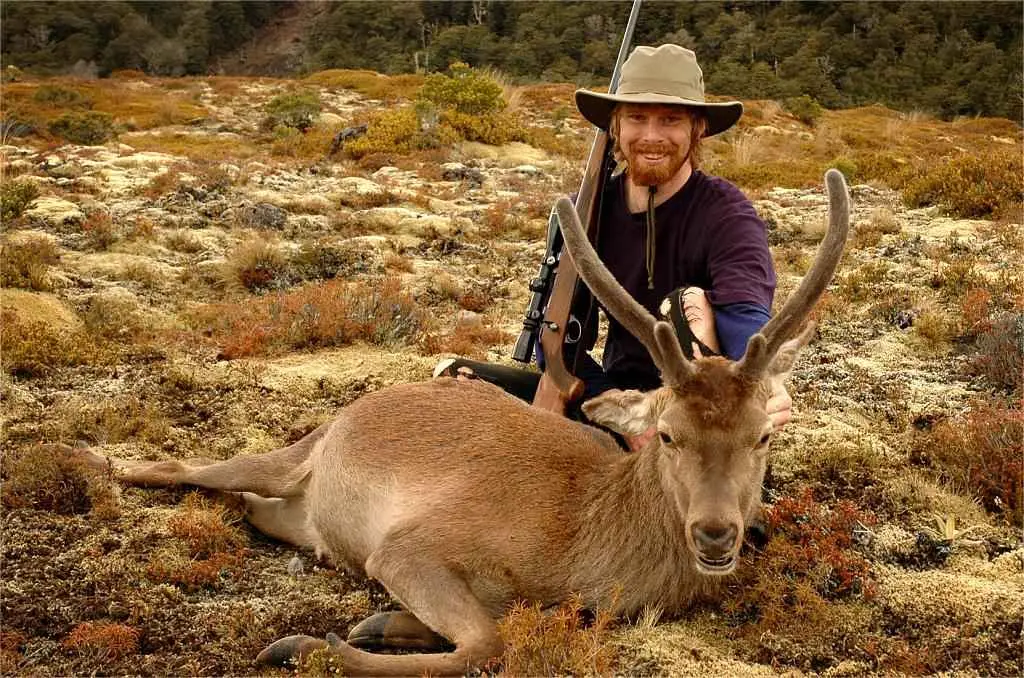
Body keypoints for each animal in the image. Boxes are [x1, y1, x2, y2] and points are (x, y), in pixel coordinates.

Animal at [74, 169, 849, 676]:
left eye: (764, 435)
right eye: (667, 434)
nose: (717, 533)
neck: (582, 553)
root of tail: (351, 408)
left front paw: (381, 623)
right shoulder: (410, 545)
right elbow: (485, 644)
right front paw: (302, 644)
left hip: (301, 510)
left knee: (254, 508)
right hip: (294, 452)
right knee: (187, 466)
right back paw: (93, 459)